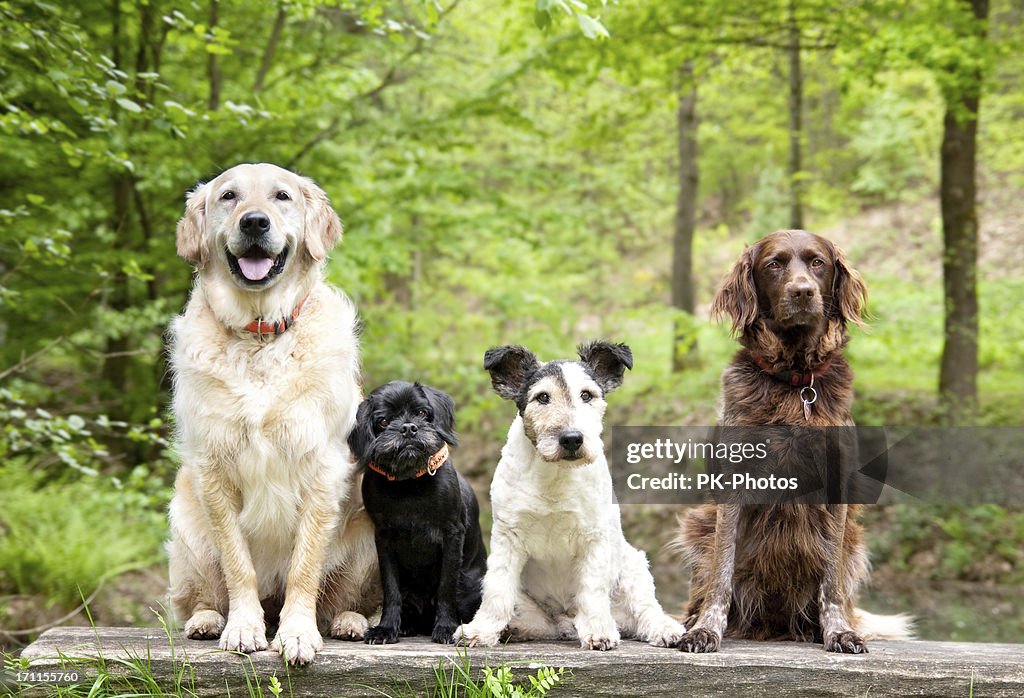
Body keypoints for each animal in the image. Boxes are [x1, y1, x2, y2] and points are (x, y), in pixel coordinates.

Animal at [348, 380, 487, 642]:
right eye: (383, 421)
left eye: (422, 413)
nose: (408, 428)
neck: (409, 483)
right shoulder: (384, 539)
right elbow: (391, 589)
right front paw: (386, 628)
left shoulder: (452, 535)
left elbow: (446, 587)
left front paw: (446, 627)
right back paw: (406, 625)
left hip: (471, 585)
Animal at [675, 228, 909, 650]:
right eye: (774, 264)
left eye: (818, 262)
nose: (802, 292)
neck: (795, 383)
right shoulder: (733, 486)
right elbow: (721, 572)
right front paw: (706, 629)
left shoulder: (836, 489)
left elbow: (831, 581)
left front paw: (838, 630)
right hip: (698, 524)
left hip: (855, 541)